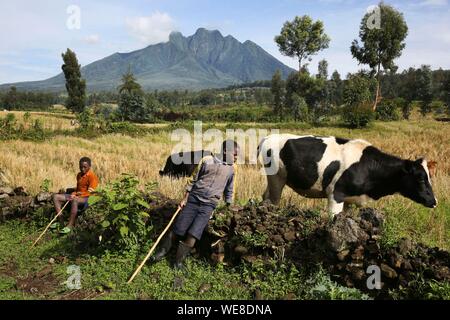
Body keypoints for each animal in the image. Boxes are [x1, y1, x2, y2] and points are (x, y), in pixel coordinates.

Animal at [258, 134, 438, 214]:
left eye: (429, 176)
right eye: (420, 178)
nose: (434, 201)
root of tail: (269, 136)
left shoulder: (350, 200)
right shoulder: (336, 195)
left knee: (265, 196)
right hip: (277, 178)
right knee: (273, 200)